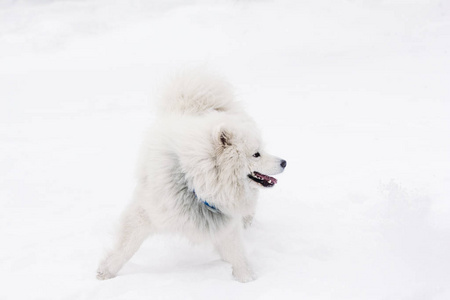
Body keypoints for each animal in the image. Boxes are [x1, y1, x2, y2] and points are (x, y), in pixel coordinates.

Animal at [96, 71, 286, 282]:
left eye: (261, 150)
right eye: (256, 154)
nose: (284, 162)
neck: (194, 183)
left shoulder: (224, 223)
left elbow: (237, 255)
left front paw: (247, 280)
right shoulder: (146, 212)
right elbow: (125, 246)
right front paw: (106, 272)